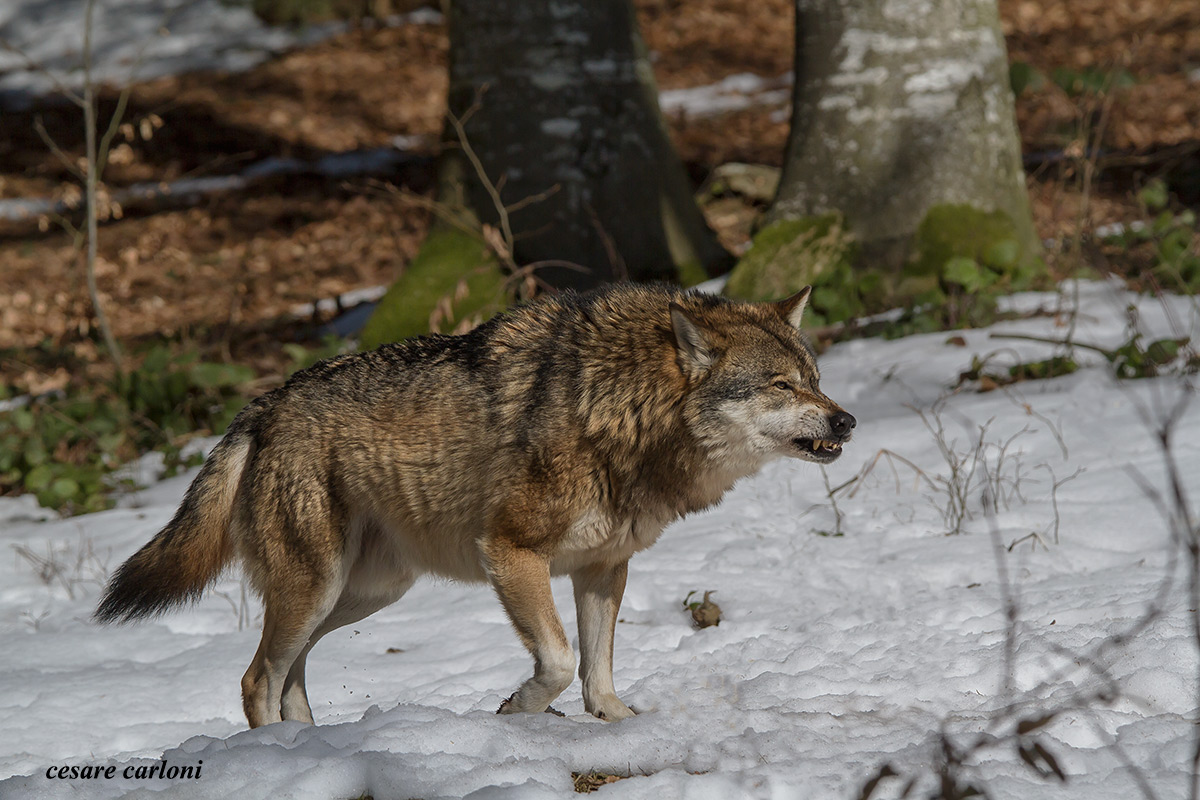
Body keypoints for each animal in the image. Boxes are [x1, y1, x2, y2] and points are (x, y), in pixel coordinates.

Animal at [95, 282, 855, 727]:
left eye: (815, 377)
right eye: (781, 385)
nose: (846, 420)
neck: (617, 408)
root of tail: (260, 407)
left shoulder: (604, 568)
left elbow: (597, 668)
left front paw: (615, 722)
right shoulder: (512, 553)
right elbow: (557, 661)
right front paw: (517, 710)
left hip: (364, 593)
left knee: (289, 680)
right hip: (318, 588)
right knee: (258, 679)